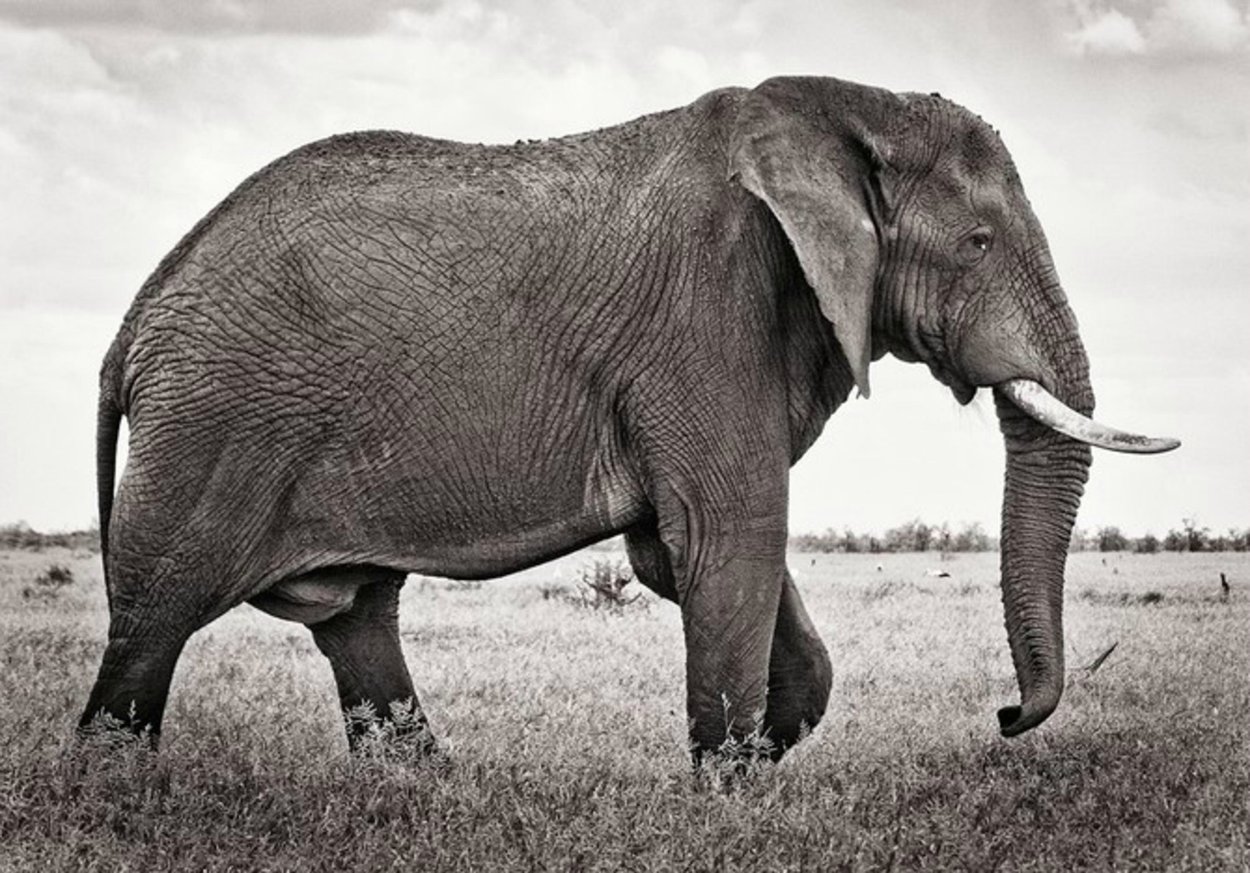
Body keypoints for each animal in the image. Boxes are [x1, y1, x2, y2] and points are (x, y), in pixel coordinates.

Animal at [83, 75, 1177, 759]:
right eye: (978, 241)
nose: (1003, 713)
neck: (833, 112)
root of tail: (131, 328)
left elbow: (692, 559)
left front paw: (765, 748)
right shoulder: (708, 310)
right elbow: (728, 538)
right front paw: (732, 796)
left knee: (357, 621)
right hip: (211, 431)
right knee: (148, 636)